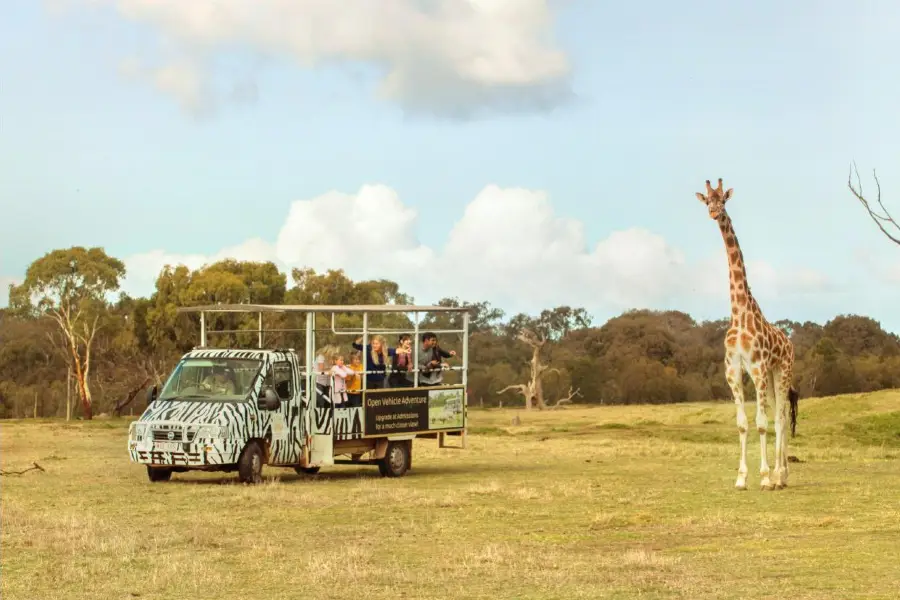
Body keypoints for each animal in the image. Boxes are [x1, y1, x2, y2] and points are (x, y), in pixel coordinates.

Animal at [696, 177, 800, 488]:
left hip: (782, 370)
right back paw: (782, 475)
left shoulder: (756, 367)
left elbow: (762, 423)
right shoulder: (733, 368)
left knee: (780, 418)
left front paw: (764, 477)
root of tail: (789, 343)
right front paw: (742, 478)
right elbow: (742, 424)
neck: (740, 313)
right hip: (772, 374)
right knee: (779, 415)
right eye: (707, 200)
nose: (714, 213)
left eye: (723, 200)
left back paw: (779, 475)